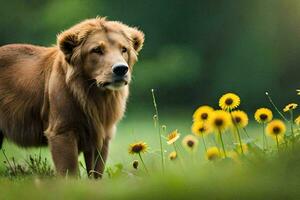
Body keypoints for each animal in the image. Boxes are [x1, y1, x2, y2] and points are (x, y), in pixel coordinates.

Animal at [0, 16, 144, 177]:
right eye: (97, 50)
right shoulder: (62, 131)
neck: (95, 97)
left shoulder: (101, 134)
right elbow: (70, 170)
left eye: (124, 49)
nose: (121, 69)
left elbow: (96, 171)